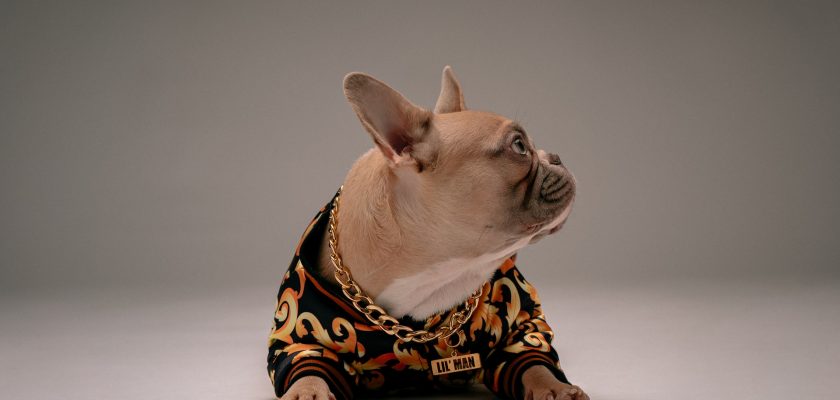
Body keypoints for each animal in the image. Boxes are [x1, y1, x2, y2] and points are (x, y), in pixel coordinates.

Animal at [268, 67, 584, 398]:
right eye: (519, 146)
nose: (555, 156)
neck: (434, 275)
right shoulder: (301, 338)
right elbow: (309, 368)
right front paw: (307, 393)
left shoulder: (518, 324)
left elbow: (533, 362)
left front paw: (556, 388)